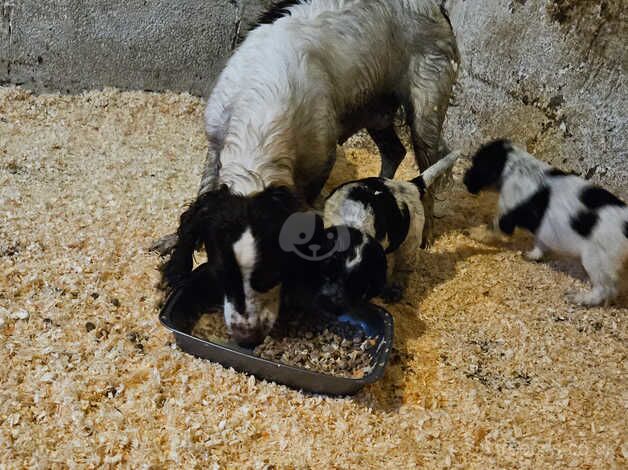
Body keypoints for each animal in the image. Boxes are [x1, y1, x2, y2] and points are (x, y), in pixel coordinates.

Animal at [159, 0, 458, 346]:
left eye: (271, 274)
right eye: (222, 275)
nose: (247, 338)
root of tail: (437, 7)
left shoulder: (319, 163)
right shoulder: (215, 142)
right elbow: (200, 199)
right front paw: (174, 249)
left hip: (425, 109)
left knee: (430, 163)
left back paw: (423, 229)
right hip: (374, 110)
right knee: (394, 151)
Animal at [464, 139, 624, 308]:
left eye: (476, 164)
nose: (464, 180)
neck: (513, 169)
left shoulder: (506, 214)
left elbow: (492, 228)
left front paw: (471, 232)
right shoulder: (544, 231)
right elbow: (540, 246)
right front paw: (529, 256)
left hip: (597, 261)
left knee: (605, 289)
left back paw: (578, 298)